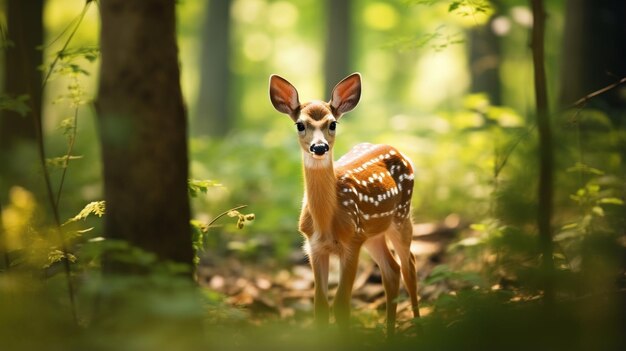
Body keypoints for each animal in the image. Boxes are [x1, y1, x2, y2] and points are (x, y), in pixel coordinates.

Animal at [268, 73, 420, 334]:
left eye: (332, 124)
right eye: (300, 124)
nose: (319, 147)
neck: (326, 223)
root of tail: (397, 149)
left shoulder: (351, 242)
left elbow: (341, 305)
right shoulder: (314, 247)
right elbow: (320, 306)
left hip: (401, 217)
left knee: (409, 266)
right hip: (373, 234)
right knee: (392, 270)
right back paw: (389, 334)